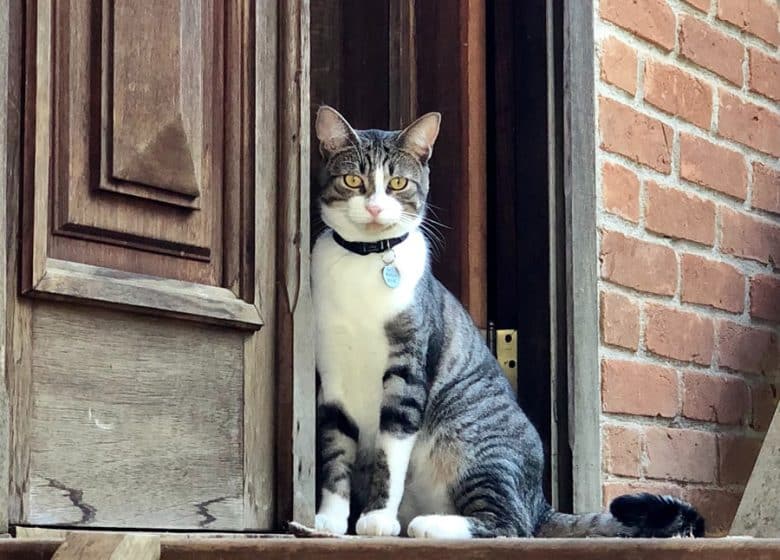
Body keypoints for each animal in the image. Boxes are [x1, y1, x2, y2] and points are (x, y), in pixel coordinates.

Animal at [310, 105, 708, 540]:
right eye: (353, 180)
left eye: (398, 183)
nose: (376, 209)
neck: (364, 263)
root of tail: (540, 501)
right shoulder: (332, 379)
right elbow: (334, 454)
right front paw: (329, 520)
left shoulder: (407, 373)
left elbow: (390, 452)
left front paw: (377, 519)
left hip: (473, 443)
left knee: (512, 523)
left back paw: (426, 524)